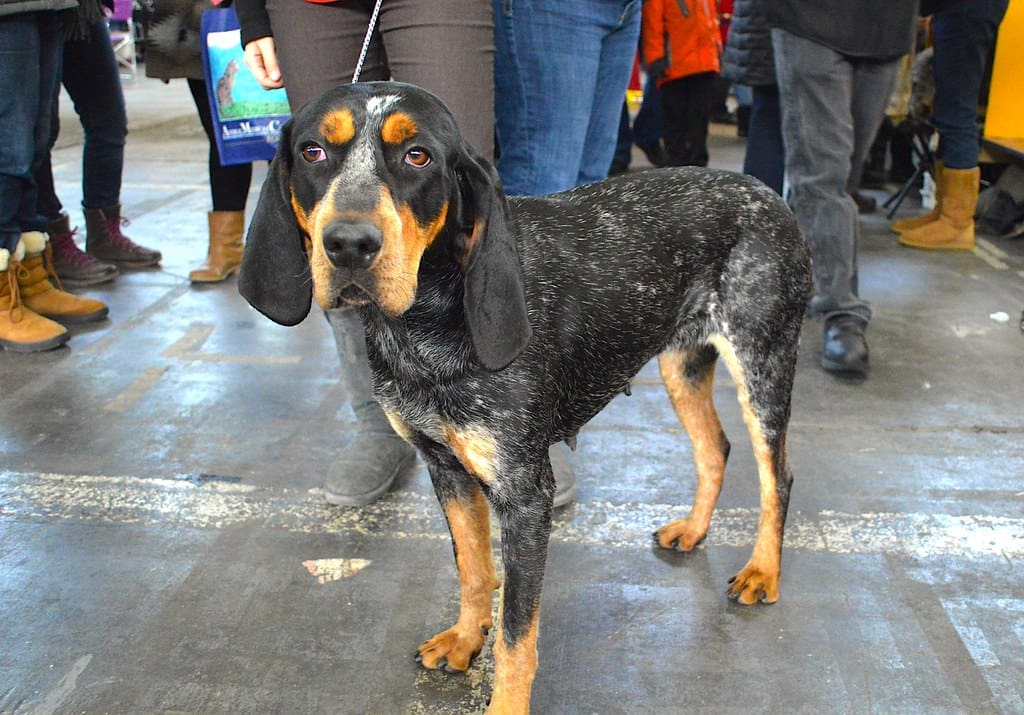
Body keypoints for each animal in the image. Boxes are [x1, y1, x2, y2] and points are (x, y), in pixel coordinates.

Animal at [237, 81, 806, 708]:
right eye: (313, 151)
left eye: (418, 156)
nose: (348, 244)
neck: (427, 322)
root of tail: (768, 194)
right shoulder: (447, 468)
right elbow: (474, 570)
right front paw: (465, 639)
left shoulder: (525, 494)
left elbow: (516, 633)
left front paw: (505, 702)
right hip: (682, 366)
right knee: (714, 448)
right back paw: (695, 529)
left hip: (763, 364)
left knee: (776, 475)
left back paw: (763, 572)